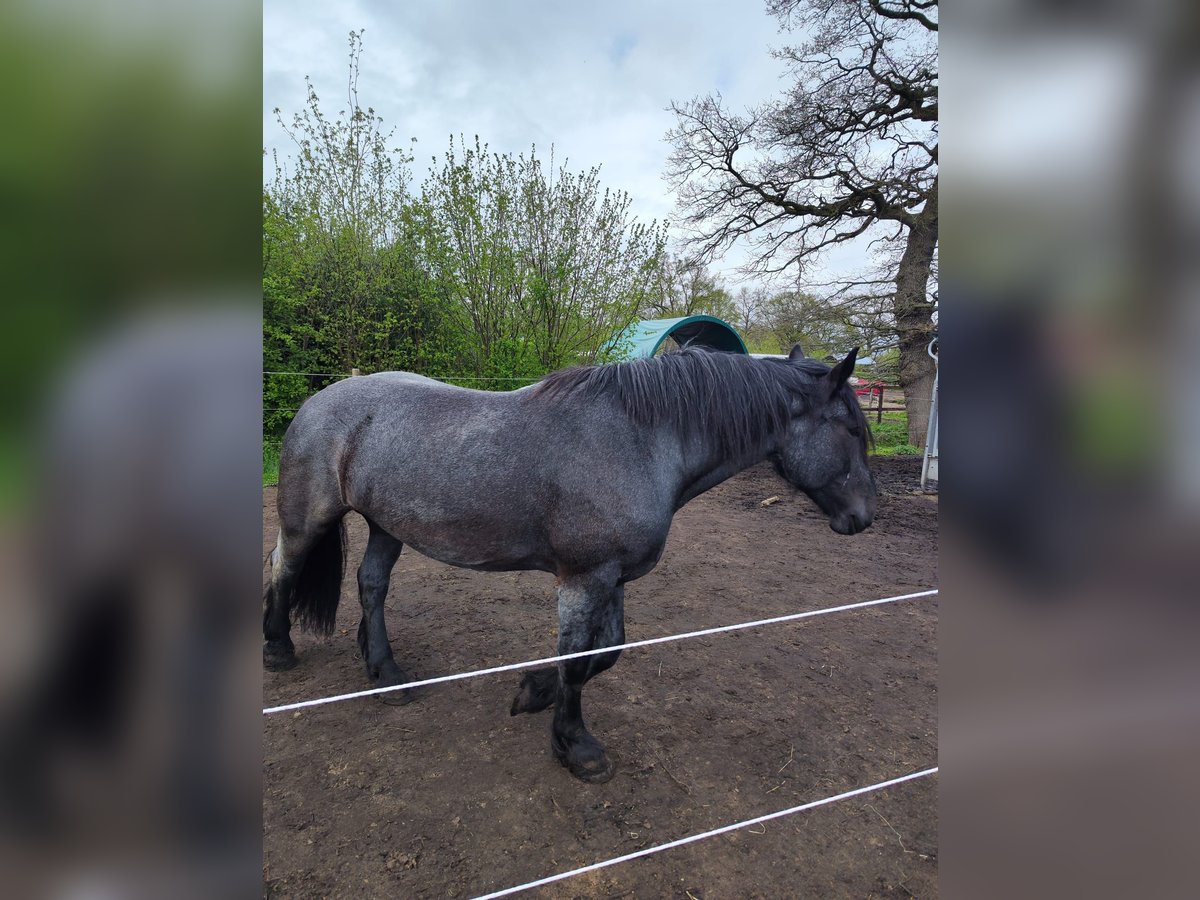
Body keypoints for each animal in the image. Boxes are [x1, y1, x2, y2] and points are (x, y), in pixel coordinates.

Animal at [267, 345, 878, 782]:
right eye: (851, 429)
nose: (866, 516)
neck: (640, 441)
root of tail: (320, 400)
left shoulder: (614, 578)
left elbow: (606, 653)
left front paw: (534, 692)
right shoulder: (583, 580)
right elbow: (577, 660)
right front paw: (575, 745)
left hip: (387, 526)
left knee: (371, 585)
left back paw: (386, 674)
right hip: (309, 521)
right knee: (282, 569)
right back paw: (279, 650)